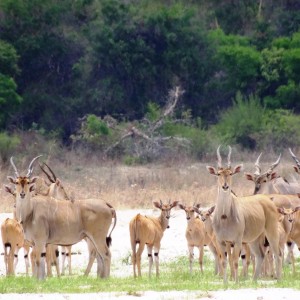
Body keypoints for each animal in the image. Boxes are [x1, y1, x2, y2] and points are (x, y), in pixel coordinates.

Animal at [205, 146, 282, 282]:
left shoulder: (237, 241)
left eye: (230, 173)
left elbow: (235, 261)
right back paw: (254, 281)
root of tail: (269, 200)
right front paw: (225, 283)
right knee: (260, 255)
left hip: (271, 232)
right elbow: (224, 261)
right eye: (219, 174)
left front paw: (236, 282)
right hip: (254, 239)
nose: (225, 186)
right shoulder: (221, 241)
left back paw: (278, 279)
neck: (224, 217)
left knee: (276, 254)